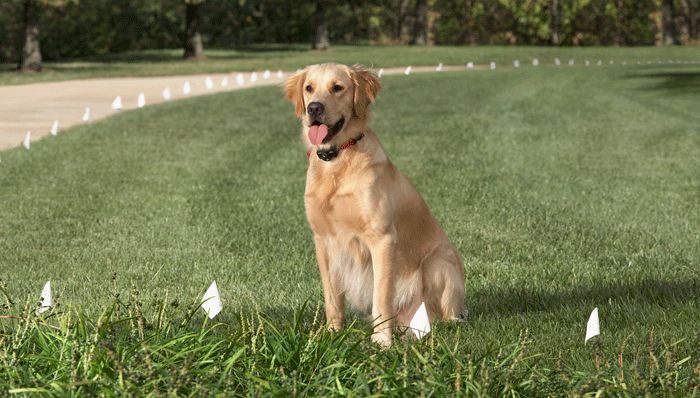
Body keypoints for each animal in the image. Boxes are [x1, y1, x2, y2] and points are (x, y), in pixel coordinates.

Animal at [284, 62, 464, 346]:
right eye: (309, 88)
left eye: (338, 87)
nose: (314, 108)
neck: (337, 160)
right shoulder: (323, 241)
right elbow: (332, 298)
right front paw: (332, 334)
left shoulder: (382, 239)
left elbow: (381, 296)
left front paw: (381, 341)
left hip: (437, 263)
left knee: (445, 318)